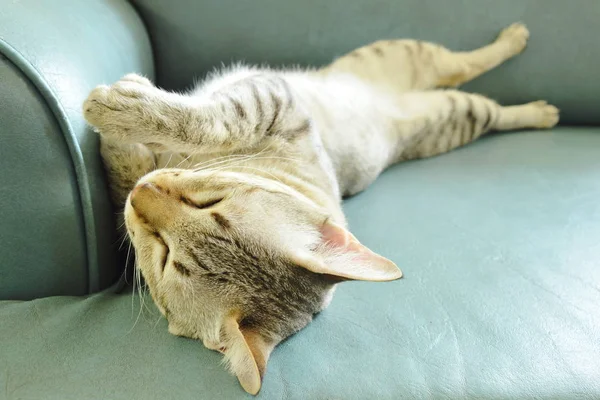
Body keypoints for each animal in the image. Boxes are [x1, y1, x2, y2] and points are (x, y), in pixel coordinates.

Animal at [82, 22, 556, 394]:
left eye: (164, 256)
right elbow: (130, 168)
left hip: (437, 90)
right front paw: (125, 135)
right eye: (209, 203)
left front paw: (119, 111)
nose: (144, 194)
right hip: (430, 93)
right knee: (463, 74)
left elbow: (206, 121)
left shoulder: (273, 101)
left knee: (478, 85)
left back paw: (530, 90)